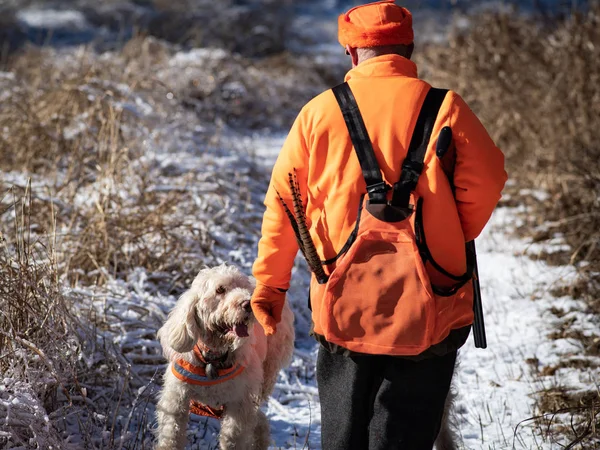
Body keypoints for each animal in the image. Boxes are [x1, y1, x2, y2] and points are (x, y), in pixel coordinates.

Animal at [155, 266, 296, 448]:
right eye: (220, 289)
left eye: (245, 289)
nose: (248, 304)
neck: (213, 356)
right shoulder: (176, 399)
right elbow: (171, 434)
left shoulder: (240, 403)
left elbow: (233, 439)